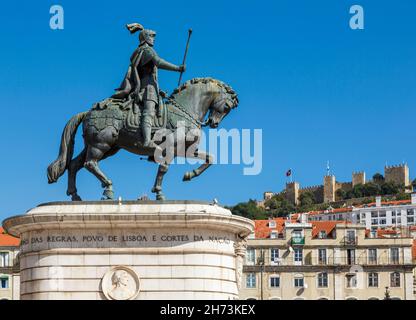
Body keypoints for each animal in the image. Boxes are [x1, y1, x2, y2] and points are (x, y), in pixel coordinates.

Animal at [47, 77, 239, 200]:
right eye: (227, 107)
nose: (213, 123)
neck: (184, 111)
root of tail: (88, 111)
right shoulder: (170, 148)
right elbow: (163, 168)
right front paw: (159, 192)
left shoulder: (186, 150)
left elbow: (210, 158)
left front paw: (189, 175)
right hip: (101, 144)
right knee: (89, 164)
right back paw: (108, 188)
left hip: (105, 147)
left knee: (74, 164)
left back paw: (75, 195)